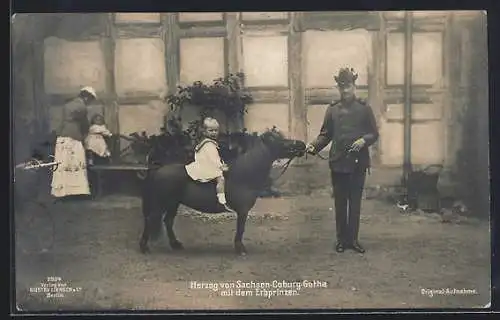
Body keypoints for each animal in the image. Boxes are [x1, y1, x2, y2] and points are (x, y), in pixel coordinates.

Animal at [139, 127, 306, 255]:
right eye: (278, 141)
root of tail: (158, 169)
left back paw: (176, 245)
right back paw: (144, 247)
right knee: (151, 219)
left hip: (173, 203)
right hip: (161, 203)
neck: (245, 174)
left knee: (168, 221)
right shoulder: (243, 211)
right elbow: (241, 229)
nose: (302, 144)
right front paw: (240, 249)